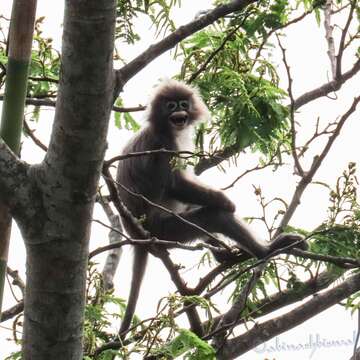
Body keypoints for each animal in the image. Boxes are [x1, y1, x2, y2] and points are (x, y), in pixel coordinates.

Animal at [116, 79, 306, 338]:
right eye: (171, 105)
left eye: (183, 104)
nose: (179, 113)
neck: (168, 129)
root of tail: (138, 236)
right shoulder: (163, 145)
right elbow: (175, 185)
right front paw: (226, 201)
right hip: (167, 229)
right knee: (215, 216)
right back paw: (264, 251)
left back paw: (223, 251)